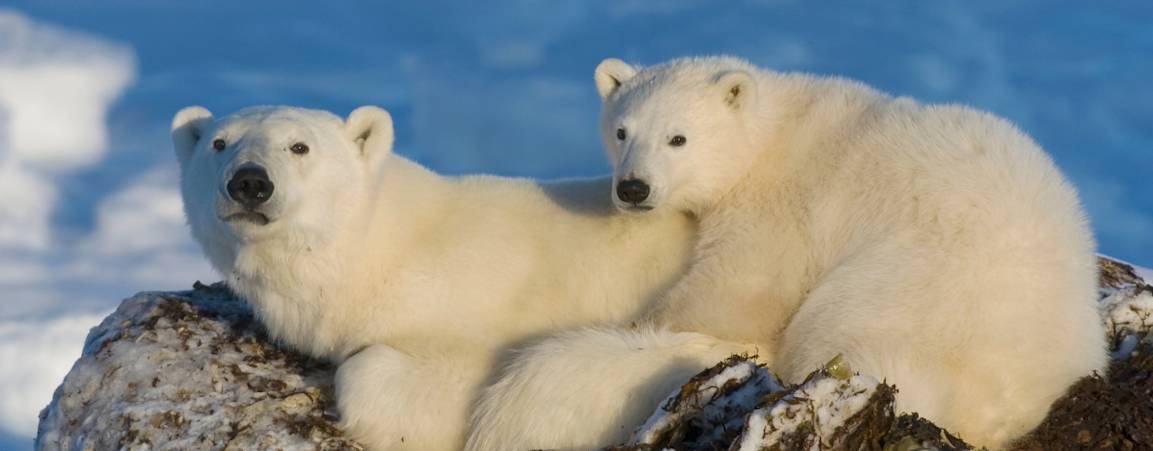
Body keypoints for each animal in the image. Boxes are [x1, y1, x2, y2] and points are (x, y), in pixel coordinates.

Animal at [170, 105, 705, 450]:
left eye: (298, 146)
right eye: (219, 143)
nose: (250, 182)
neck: (379, 249)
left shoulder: (463, 312)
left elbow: (395, 374)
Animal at [469, 56, 1108, 450]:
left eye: (679, 137)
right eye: (622, 130)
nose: (633, 189)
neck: (770, 131)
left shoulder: (781, 204)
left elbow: (743, 287)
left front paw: (645, 328)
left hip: (910, 289)